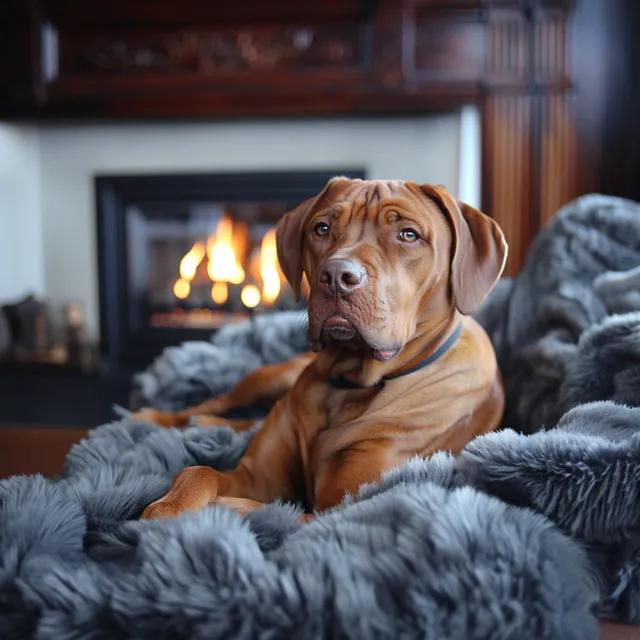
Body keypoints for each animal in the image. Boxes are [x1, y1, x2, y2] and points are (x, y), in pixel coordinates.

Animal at [134, 178, 504, 524]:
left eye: (408, 234)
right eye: (322, 228)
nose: (337, 275)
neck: (349, 384)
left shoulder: (337, 508)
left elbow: (260, 508)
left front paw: (212, 509)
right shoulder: (256, 476)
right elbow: (199, 472)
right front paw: (170, 507)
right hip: (277, 376)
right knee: (220, 404)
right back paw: (163, 419)